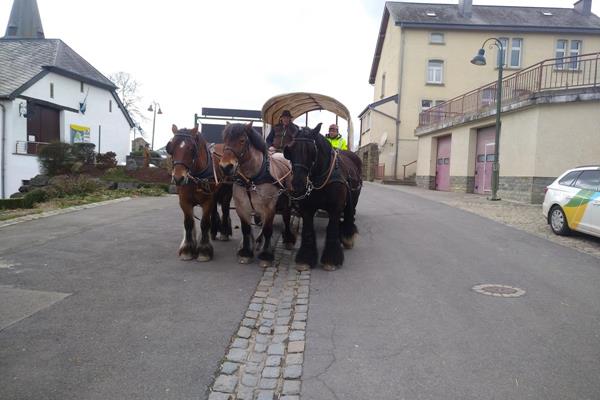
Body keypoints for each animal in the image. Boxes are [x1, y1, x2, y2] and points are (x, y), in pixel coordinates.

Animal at [166, 125, 232, 262]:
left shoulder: (207, 201)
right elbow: (189, 223)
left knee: (225, 210)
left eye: (191, 149)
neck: (196, 176)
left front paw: (204, 251)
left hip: (227, 193)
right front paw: (187, 250)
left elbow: (204, 223)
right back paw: (213, 233)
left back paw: (224, 233)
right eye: (171, 147)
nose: (178, 178)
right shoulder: (184, 201)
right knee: (214, 212)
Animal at [219, 120, 296, 268]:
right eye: (224, 139)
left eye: (242, 140)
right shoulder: (242, 207)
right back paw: (259, 241)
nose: (225, 167)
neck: (252, 180)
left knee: (286, 218)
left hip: (286, 202)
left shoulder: (269, 207)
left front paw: (266, 255)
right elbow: (246, 229)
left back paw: (288, 239)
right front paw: (245, 252)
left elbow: (268, 229)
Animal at [282, 122, 360, 272]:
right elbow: (308, 230)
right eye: (290, 150)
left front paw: (331, 260)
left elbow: (332, 229)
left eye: (312, 151)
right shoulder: (307, 208)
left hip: (353, 199)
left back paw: (347, 236)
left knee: (349, 214)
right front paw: (305, 259)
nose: (298, 184)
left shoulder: (336, 208)